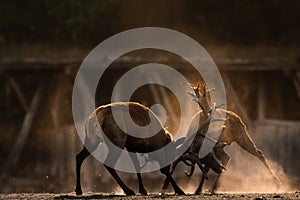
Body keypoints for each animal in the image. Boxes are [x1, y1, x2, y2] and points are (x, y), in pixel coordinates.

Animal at [75, 101, 224, 195]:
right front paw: (179, 190)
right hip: (117, 141)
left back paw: (78, 190)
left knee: (78, 157)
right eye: (171, 155)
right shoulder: (152, 147)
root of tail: (95, 120)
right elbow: (164, 170)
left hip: (92, 140)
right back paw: (128, 190)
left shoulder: (132, 146)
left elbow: (137, 167)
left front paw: (143, 190)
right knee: (108, 164)